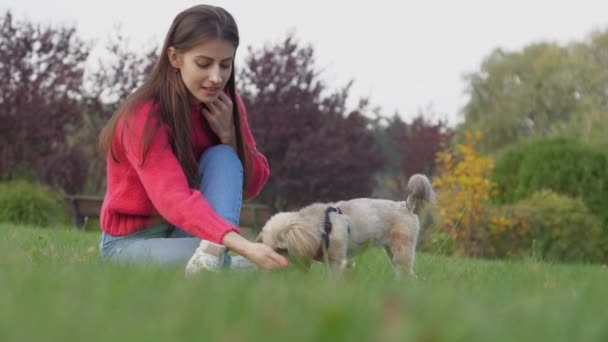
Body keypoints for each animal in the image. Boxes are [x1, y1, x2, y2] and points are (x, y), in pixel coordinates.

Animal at [254, 174, 434, 276]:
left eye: (282, 249)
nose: (275, 268)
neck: (321, 227)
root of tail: (405, 205)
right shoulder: (342, 262)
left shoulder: (336, 260)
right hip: (391, 250)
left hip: (402, 249)